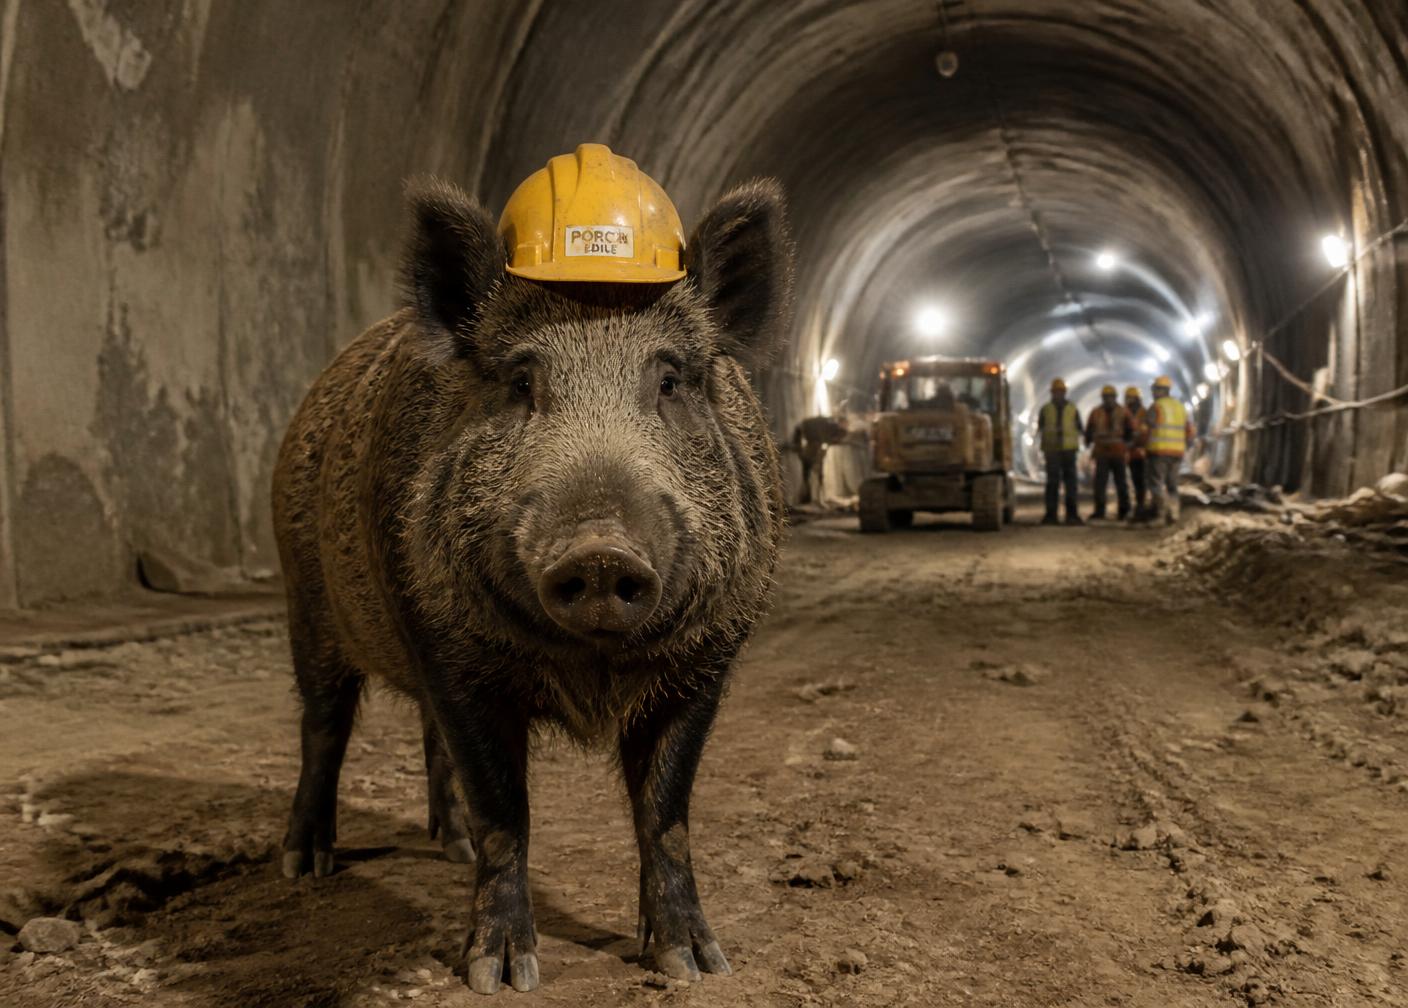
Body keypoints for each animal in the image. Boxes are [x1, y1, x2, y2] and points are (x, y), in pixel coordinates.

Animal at [271, 175, 792, 994]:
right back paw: (304, 866)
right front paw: (500, 976)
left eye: (671, 380)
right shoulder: (449, 653)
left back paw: (446, 846)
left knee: (428, 743)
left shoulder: (707, 660)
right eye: (520, 381)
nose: (602, 553)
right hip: (306, 602)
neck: (591, 673)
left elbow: (666, 812)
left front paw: (695, 964)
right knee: (323, 728)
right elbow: (505, 813)